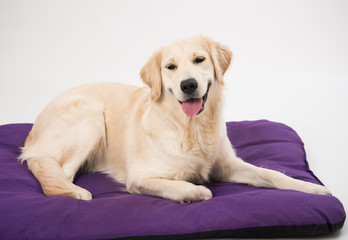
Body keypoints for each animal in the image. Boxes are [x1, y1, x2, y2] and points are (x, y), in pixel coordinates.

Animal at [18, 35, 328, 202]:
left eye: (200, 60)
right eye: (170, 67)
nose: (188, 85)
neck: (192, 128)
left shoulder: (228, 165)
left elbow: (273, 174)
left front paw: (312, 188)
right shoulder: (140, 178)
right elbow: (186, 187)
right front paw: (196, 191)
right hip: (90, 120)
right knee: (54, 172)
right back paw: (75, 191)